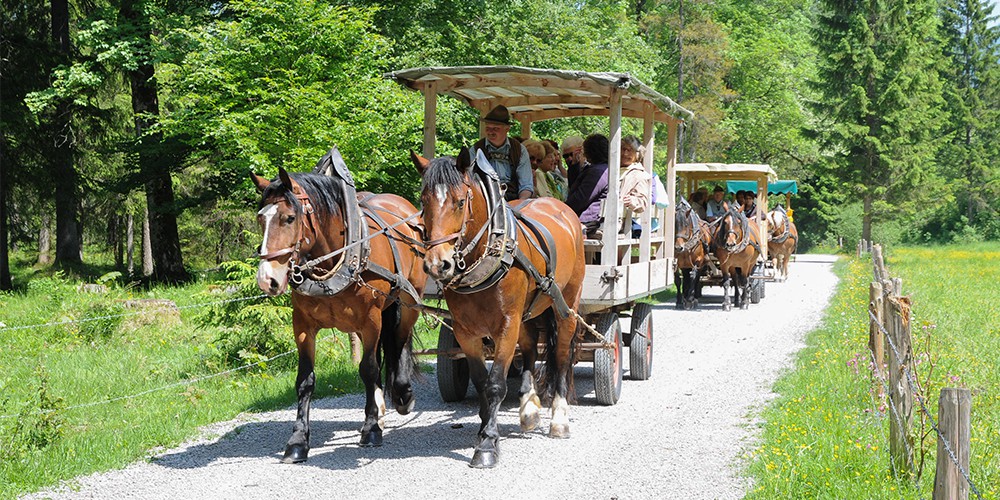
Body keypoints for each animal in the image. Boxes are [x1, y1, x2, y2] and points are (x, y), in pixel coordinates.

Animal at [250, 147, 426, 460]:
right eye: (261, 219)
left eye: (289, 218)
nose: (266, 279)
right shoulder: (303, 325)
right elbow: (305, 380)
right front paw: (298, 440)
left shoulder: (371, 320)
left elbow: (368, 370)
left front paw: (371, 429)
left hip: (407, 301)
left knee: (400, 341)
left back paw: (402, 395)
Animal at [412, 146, 584, 466]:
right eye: (423, 200)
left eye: (460, 201)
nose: (437, 264)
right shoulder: (465, 331)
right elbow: (482, 382)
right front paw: (484, 427)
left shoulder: (505, 325)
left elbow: (495, 384)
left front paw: (487, 444)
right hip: (527, 312)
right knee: (530, 347)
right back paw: (528, 408)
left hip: (566, 303)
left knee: (562, 354)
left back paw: (559, 419)